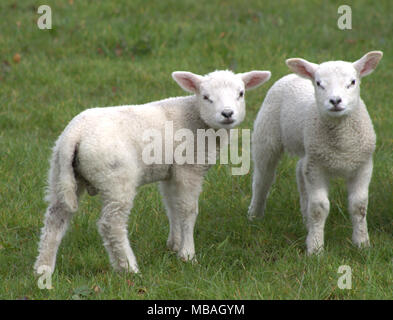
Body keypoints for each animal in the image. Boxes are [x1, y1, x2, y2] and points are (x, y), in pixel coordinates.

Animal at [34, 69, 270, 274]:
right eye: (206, 97)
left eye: (241, 93)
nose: (227, 113)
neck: (198, 119)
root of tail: (75, 134)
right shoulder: (189, 168)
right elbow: (188, 210)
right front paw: (188, 254)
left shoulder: (170, 171)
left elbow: (172, 207)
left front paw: (174, 244)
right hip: (116, 178)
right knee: (111, 224)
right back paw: (128, 268)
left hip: (61, 173)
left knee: (55, 218)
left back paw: (43, 268)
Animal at [250, 51, 382, 254]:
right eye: (319, 83)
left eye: (352, 82)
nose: (335, 101)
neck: (342, 145)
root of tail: (293, 75)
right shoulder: (317, 168)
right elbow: (319, 207)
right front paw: (316, 248)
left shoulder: (363, 165)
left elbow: (359, 206)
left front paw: (362, 244)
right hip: (266, 136)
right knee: (262, 179)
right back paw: (255, 215)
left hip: (308, 151)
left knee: (299, 171)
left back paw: (306, 221)